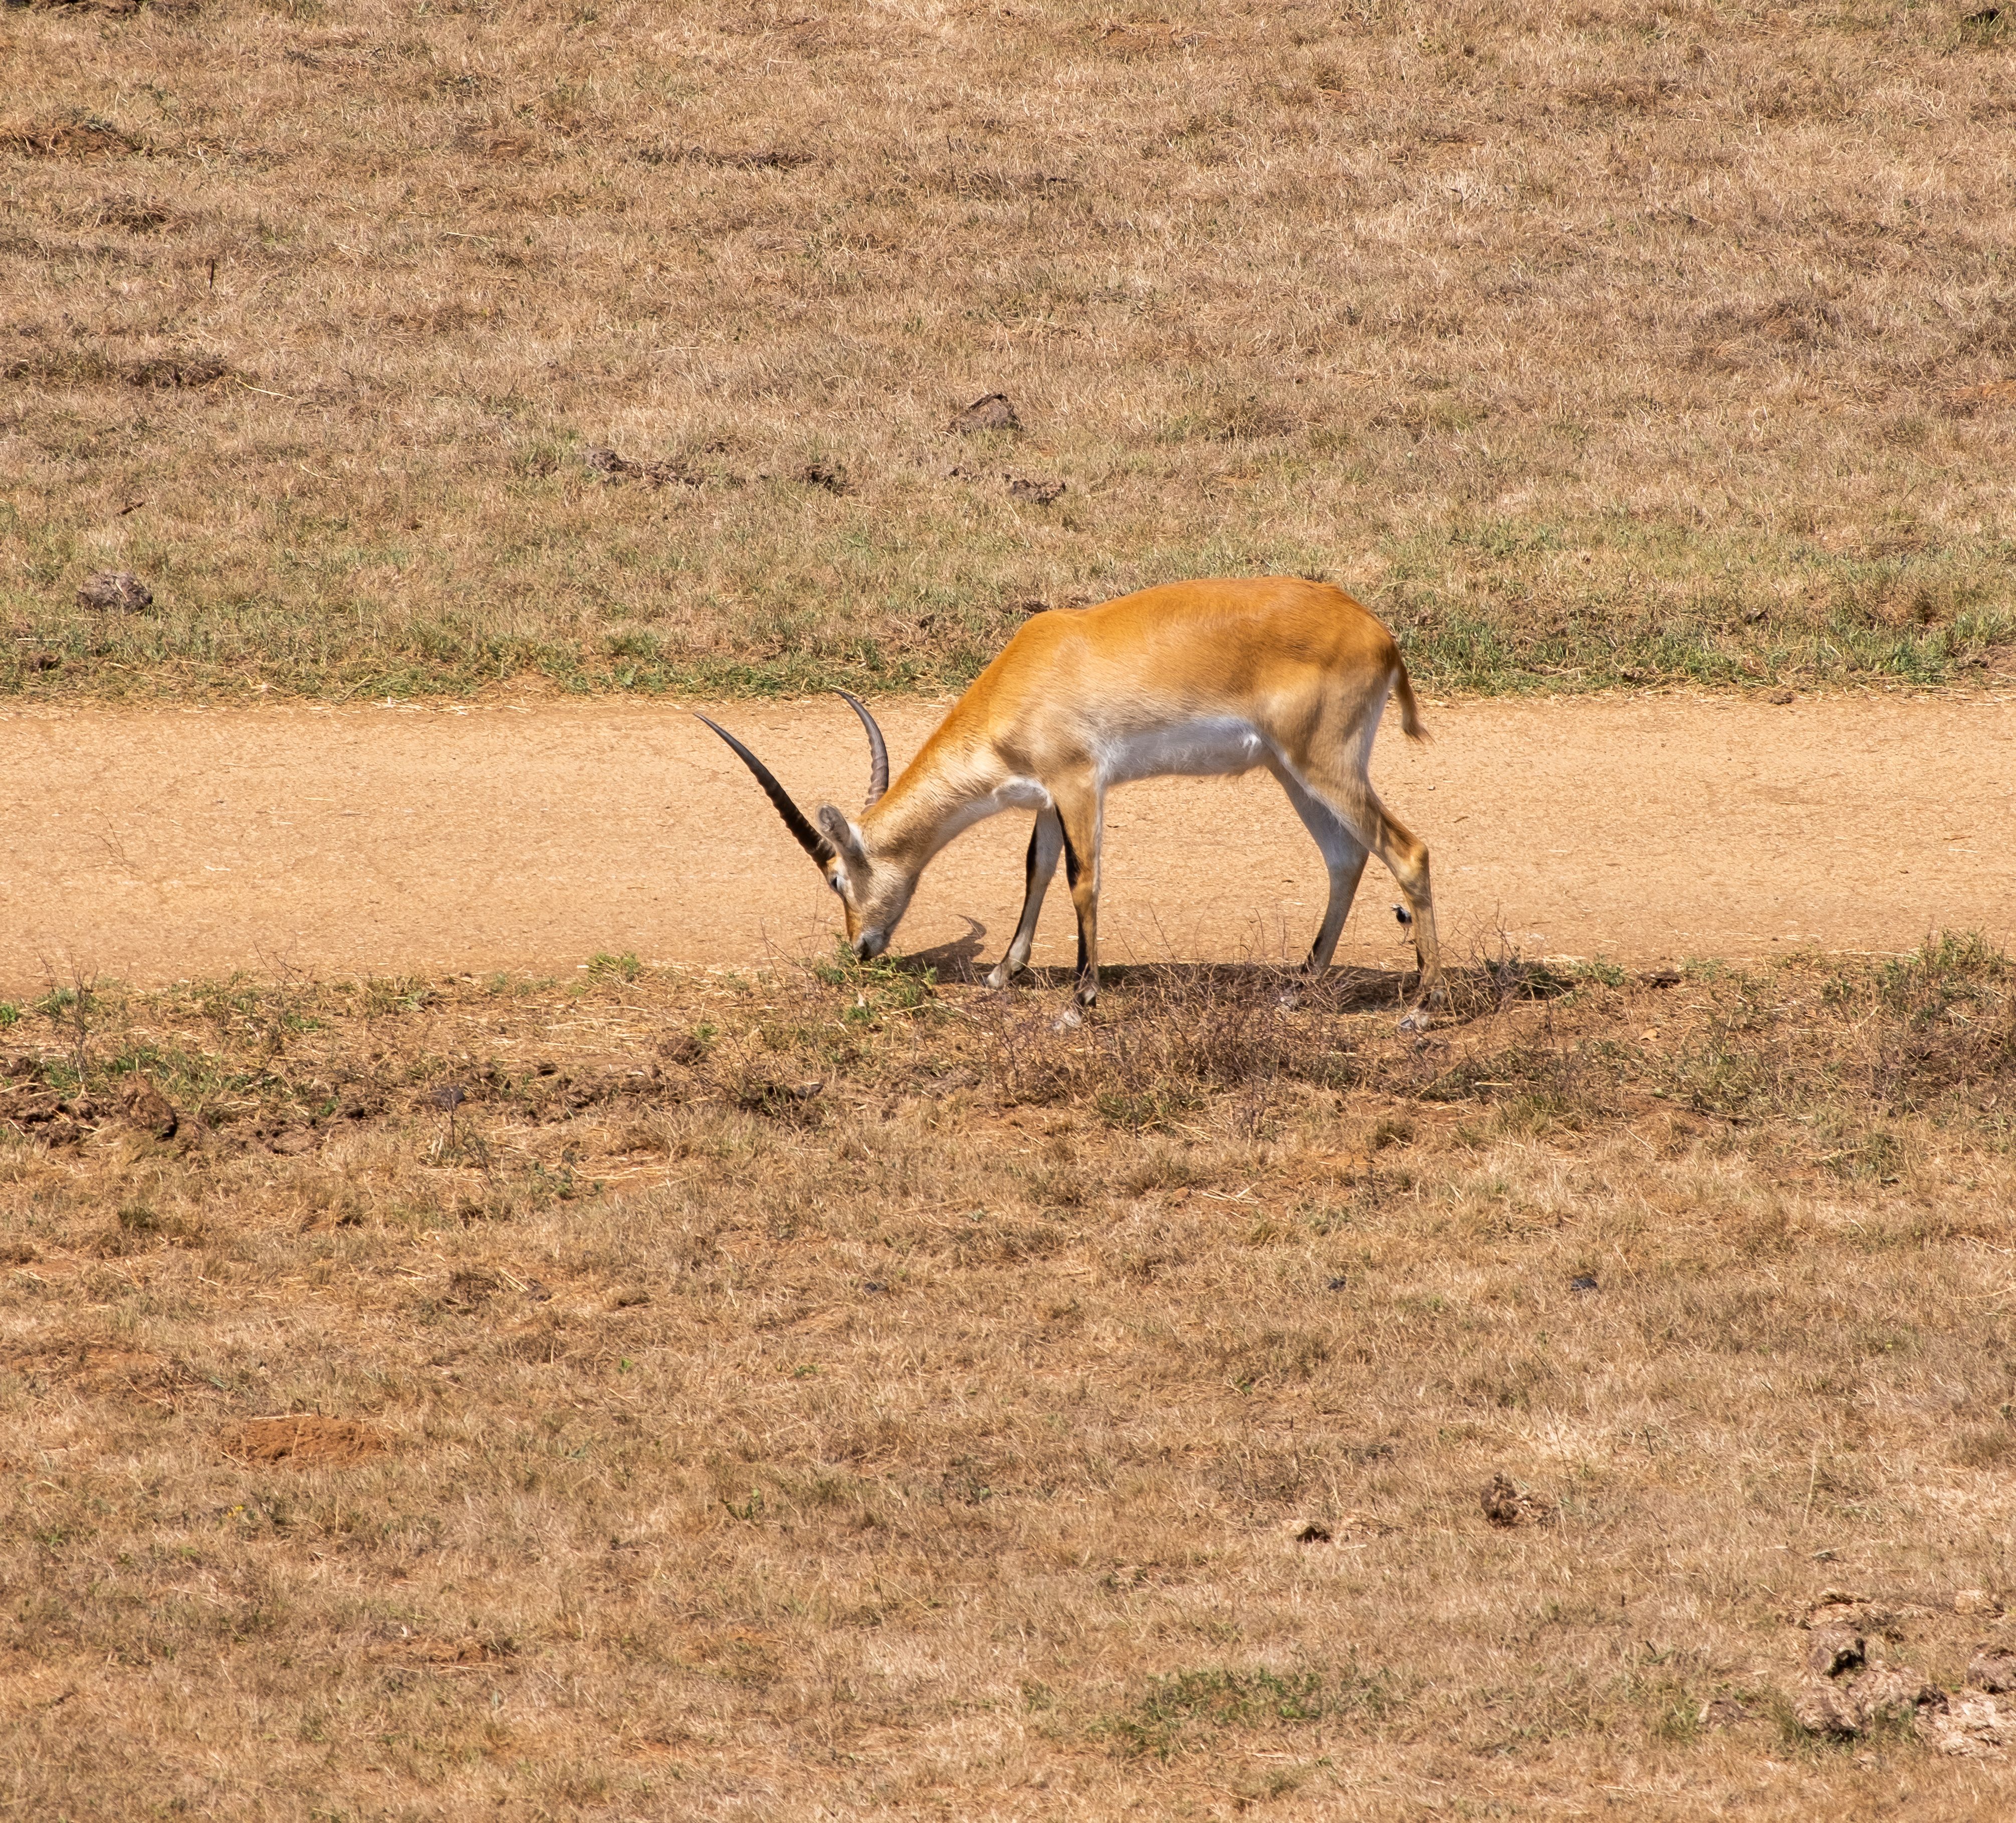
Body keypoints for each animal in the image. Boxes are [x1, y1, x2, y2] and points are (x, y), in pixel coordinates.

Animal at [695, 575, 1442, 1026]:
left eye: (834, 877)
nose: (860, 949)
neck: (1026, 671)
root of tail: (1379, 633)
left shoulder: (1081, 782)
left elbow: (1084, 880)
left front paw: (1079, 1002)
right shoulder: (1048, 797)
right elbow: (1037, 868)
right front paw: (1003, 973)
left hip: (1321, 765)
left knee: (1407, 850)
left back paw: (1421, 1009)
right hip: (1292, 772)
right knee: (1346, 857)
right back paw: (1299, 987)